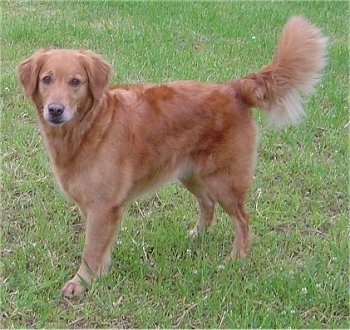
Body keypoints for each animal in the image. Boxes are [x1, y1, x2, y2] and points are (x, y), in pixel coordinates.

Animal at [17, 16, 326, 296]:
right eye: (46, 79)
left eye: (75, 82)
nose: (55, 110)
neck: (88, 128)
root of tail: (232, 89)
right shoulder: (97, 207)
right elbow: (101, 248)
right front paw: (99, 276)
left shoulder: (103, 206)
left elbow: (91, 251)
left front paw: (81, 283)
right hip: (190, 174)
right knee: (207, 205)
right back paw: (198, 236)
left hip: (224, 181)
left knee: (242, 219)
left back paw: (237, 258)